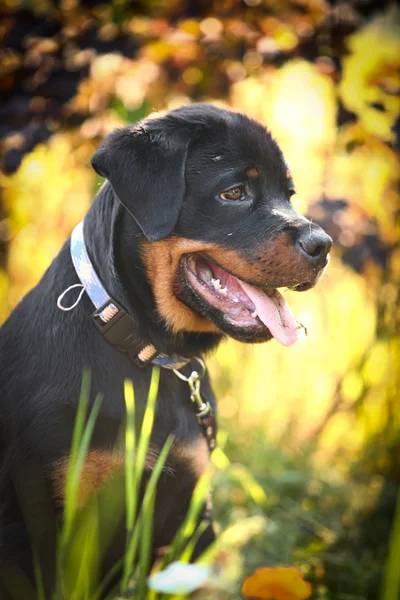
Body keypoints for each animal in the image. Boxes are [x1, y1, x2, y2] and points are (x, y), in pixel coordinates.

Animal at [0, 104, 332, 596]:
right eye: (234, 192)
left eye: (289, 195)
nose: (324, 245)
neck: (147, 354)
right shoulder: (53, 524)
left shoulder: (190, 521)